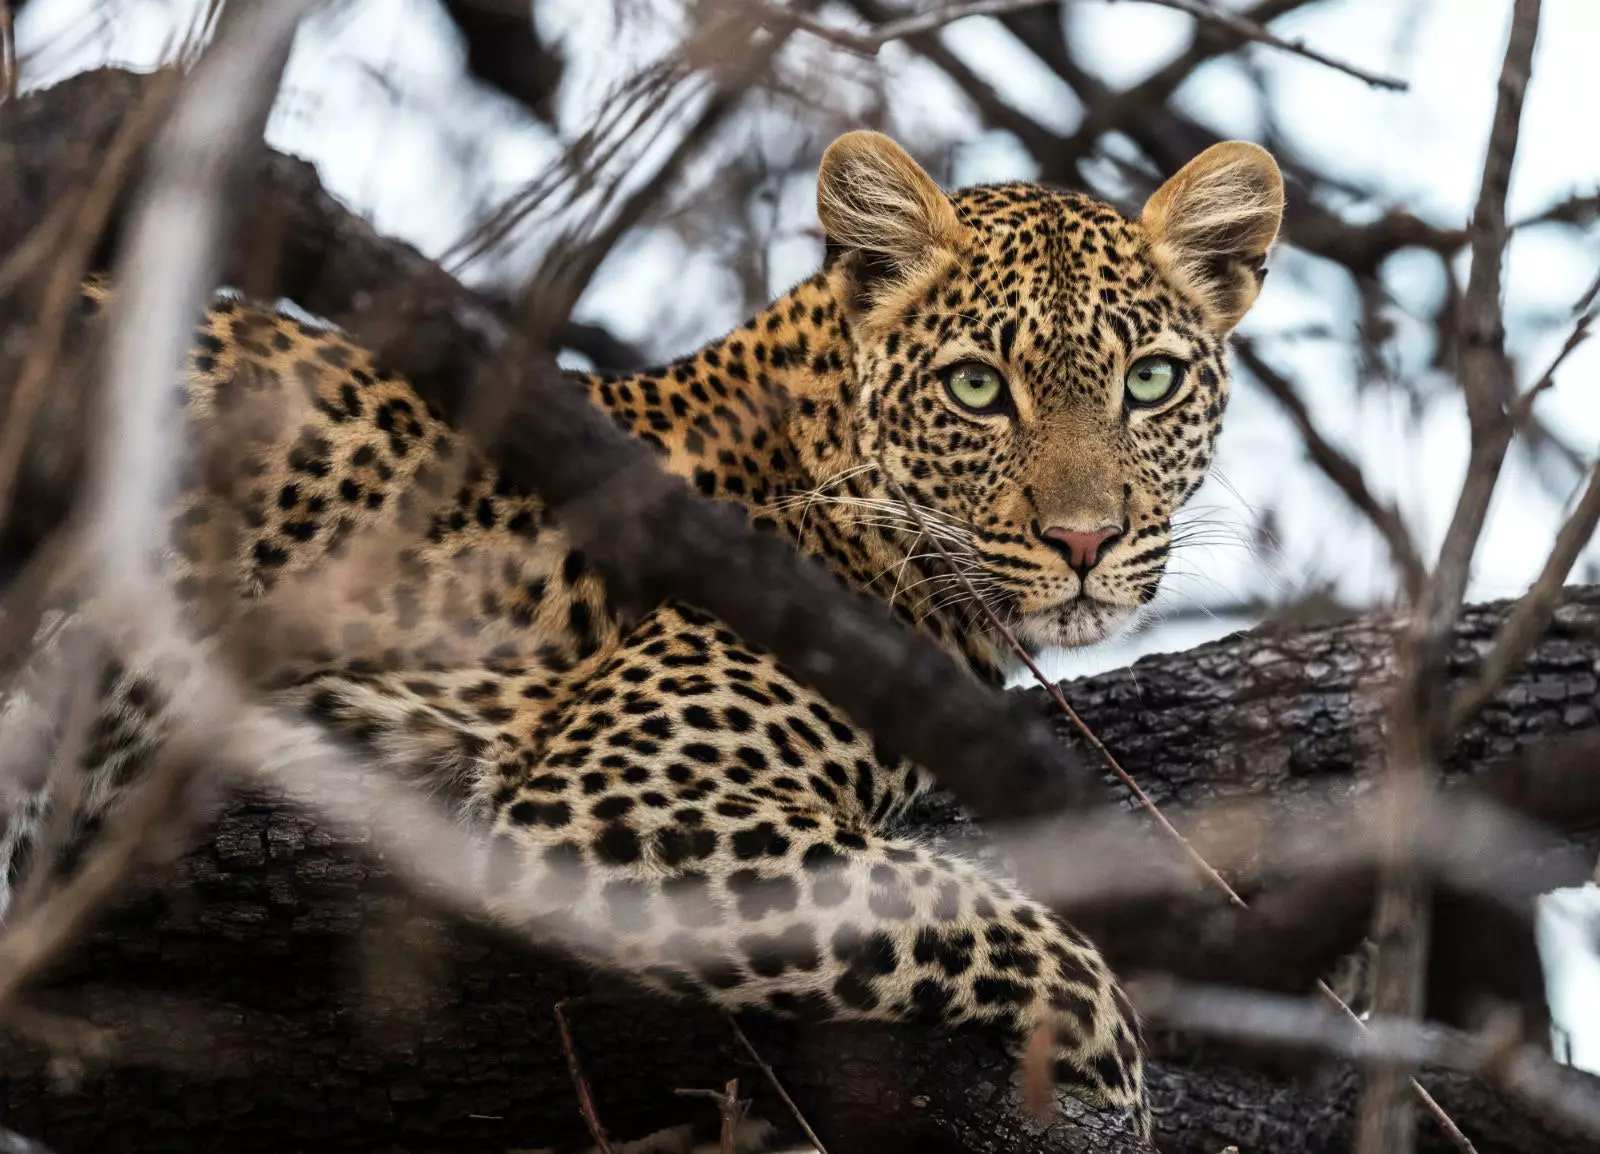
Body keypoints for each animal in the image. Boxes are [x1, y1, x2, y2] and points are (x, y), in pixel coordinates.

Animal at [0, 128, 1280, 1145]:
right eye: (975, 388)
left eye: (1150, 381)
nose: (1083, 539)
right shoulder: (611, 796)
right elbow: (962, 901)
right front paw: (1114, 1069)